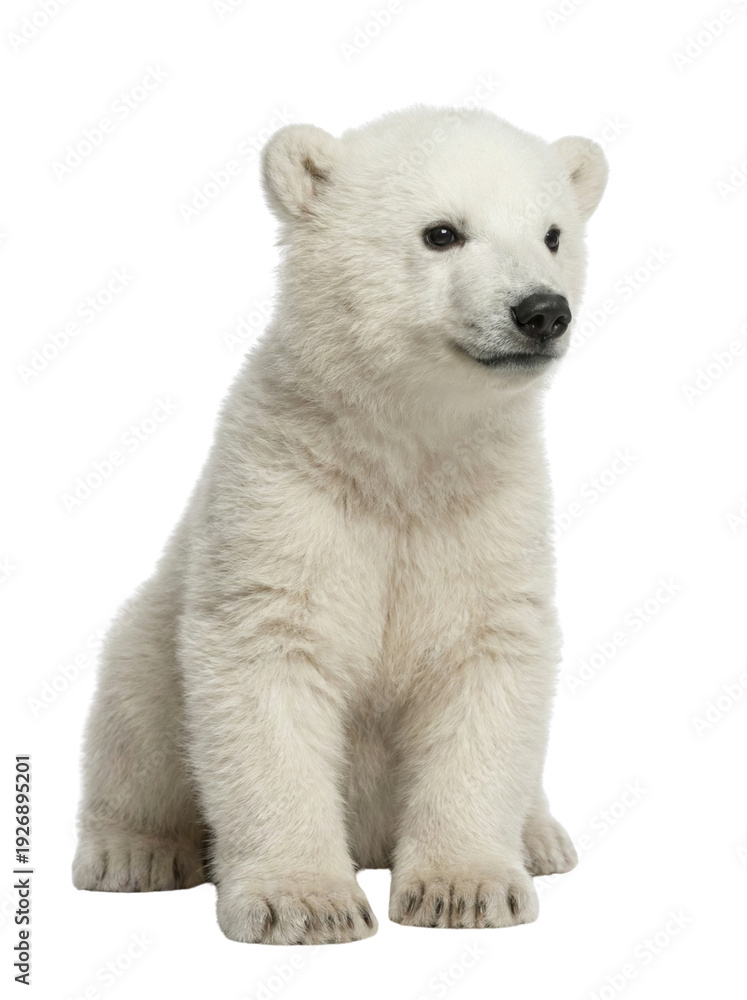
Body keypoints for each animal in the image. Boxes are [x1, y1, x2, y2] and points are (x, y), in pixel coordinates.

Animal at [72, 105, 608, 944]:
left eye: (553, 233)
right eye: (441, 232)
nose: (541, 310)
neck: (400, 455)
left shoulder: (488, 508)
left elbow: (486, 659)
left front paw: (464, 889)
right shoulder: (284, 492)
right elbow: (269, 662)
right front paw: (304, 903)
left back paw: (541, 837)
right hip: (149, 643)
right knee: (134, 715)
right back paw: (136, 853)